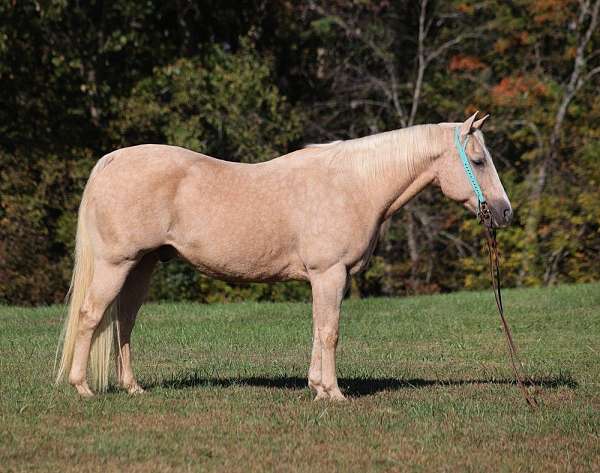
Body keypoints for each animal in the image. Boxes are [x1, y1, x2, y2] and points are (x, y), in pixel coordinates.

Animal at [55, 110, 510, 398]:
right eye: (477, 160)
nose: (504, 212)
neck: (354, 185)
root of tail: (111, 160)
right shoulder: (330, 273)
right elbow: (330, 331)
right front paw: (333, 393)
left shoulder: (326, 278)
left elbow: (318, 328)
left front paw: (316, 387)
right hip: (117, 265)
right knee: (91, 316)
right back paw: (82, 388)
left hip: (142, 266)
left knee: (124, 323)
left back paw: (133, 388)